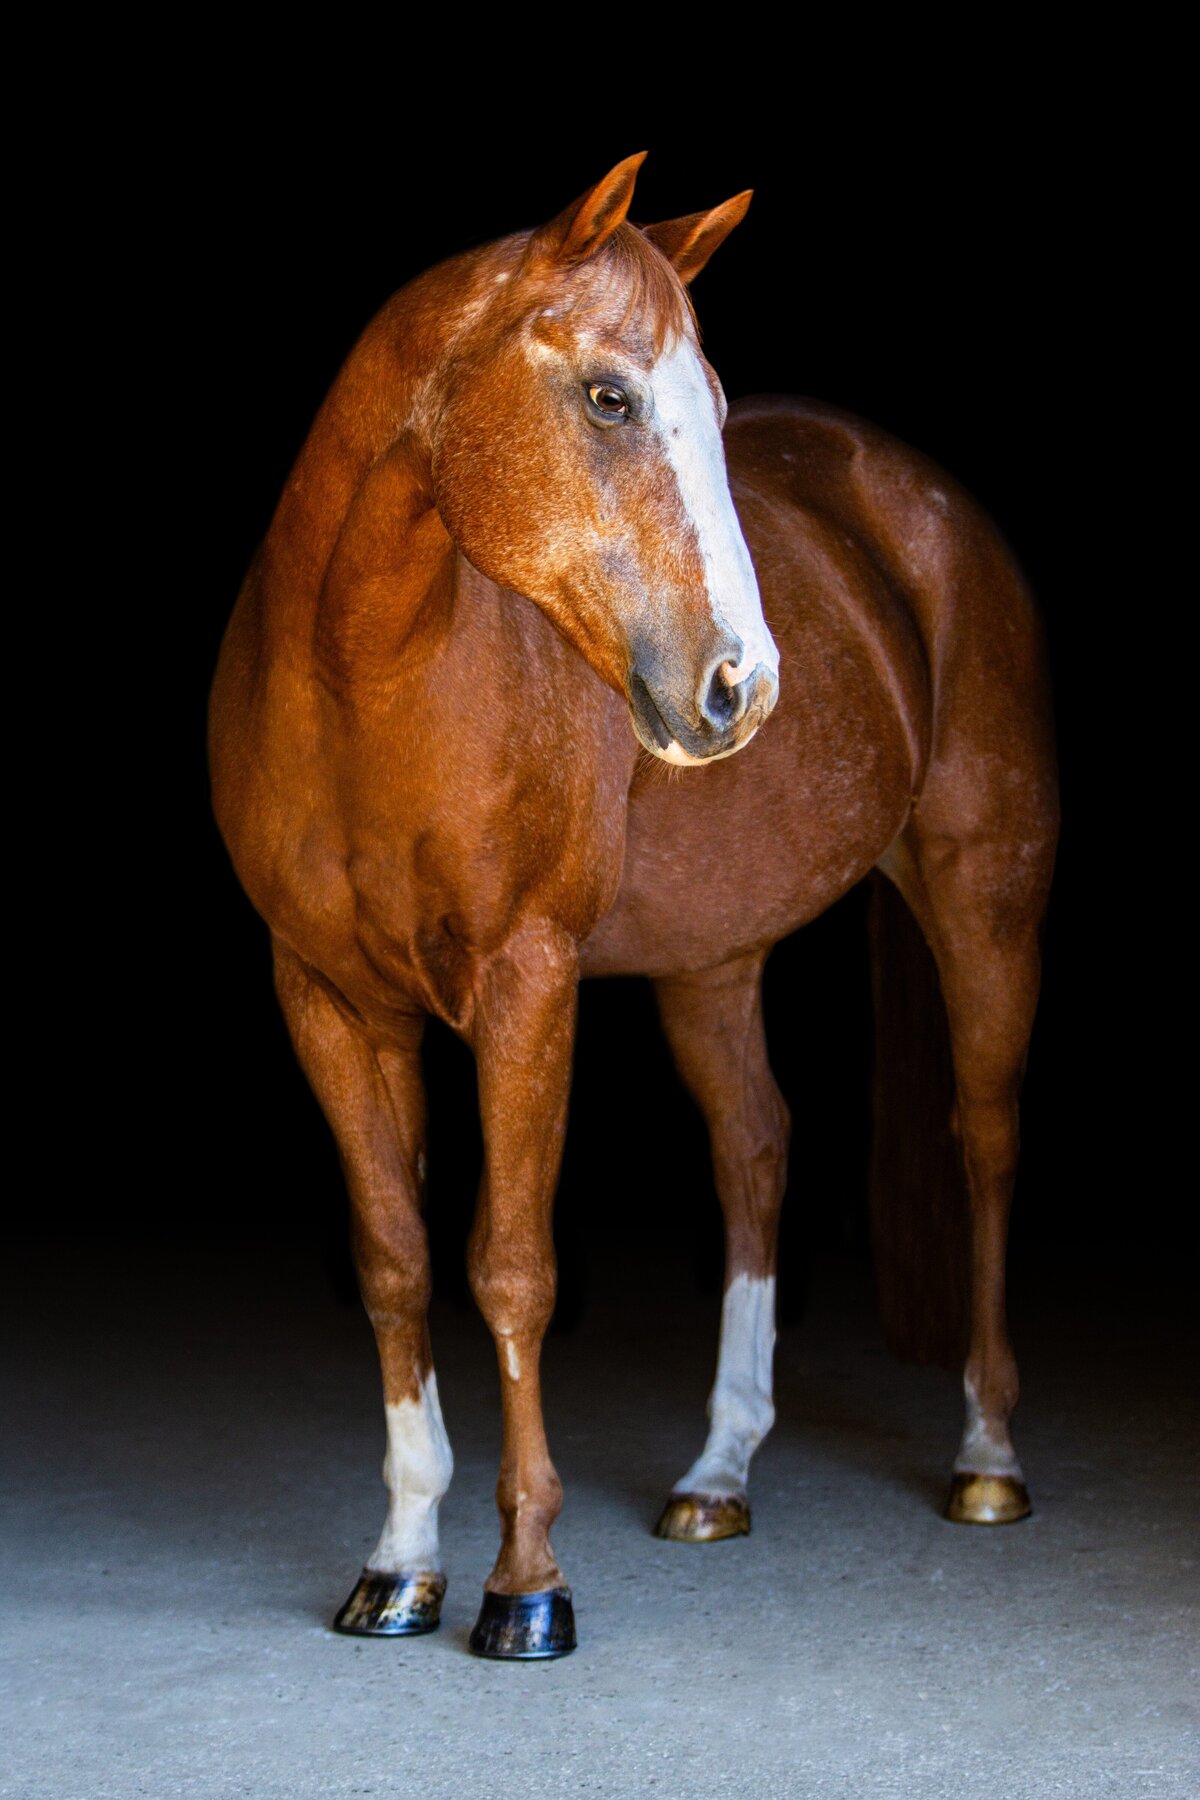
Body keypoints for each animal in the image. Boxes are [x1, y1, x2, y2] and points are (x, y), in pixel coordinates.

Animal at [209, 152, 1058, 1660]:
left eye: (713, 405)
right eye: (608, 397)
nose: (743, 686)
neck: (362, 688)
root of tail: (919, 503)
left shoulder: (527, 986)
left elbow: (511, 1268)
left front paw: (526, 1584)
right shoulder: (327, 998)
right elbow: (392, 1263)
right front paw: (400, 1564)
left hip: (986, 899)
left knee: (988, 1144)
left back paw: (986, 1460)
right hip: (712, 964)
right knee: (758, 1150)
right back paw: (717, 1474)